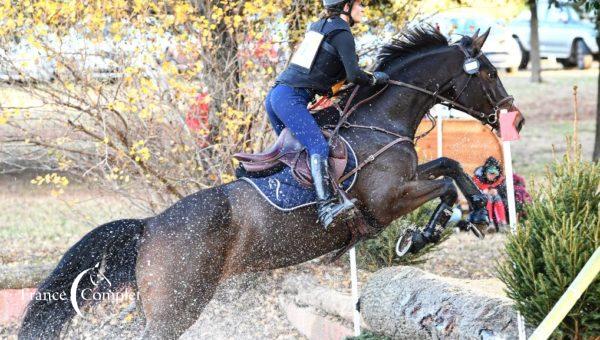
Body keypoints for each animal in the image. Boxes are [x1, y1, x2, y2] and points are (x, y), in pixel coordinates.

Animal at [18, 27, 524, 338]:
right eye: (490, 72)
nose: (512, 117)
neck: (380, 120)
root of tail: (149, 226)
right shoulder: (387, 201)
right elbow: (443, 186)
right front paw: (427, 232)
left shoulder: (407, 177)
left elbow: (450, 165)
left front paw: (476, 211)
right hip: (177, 305)